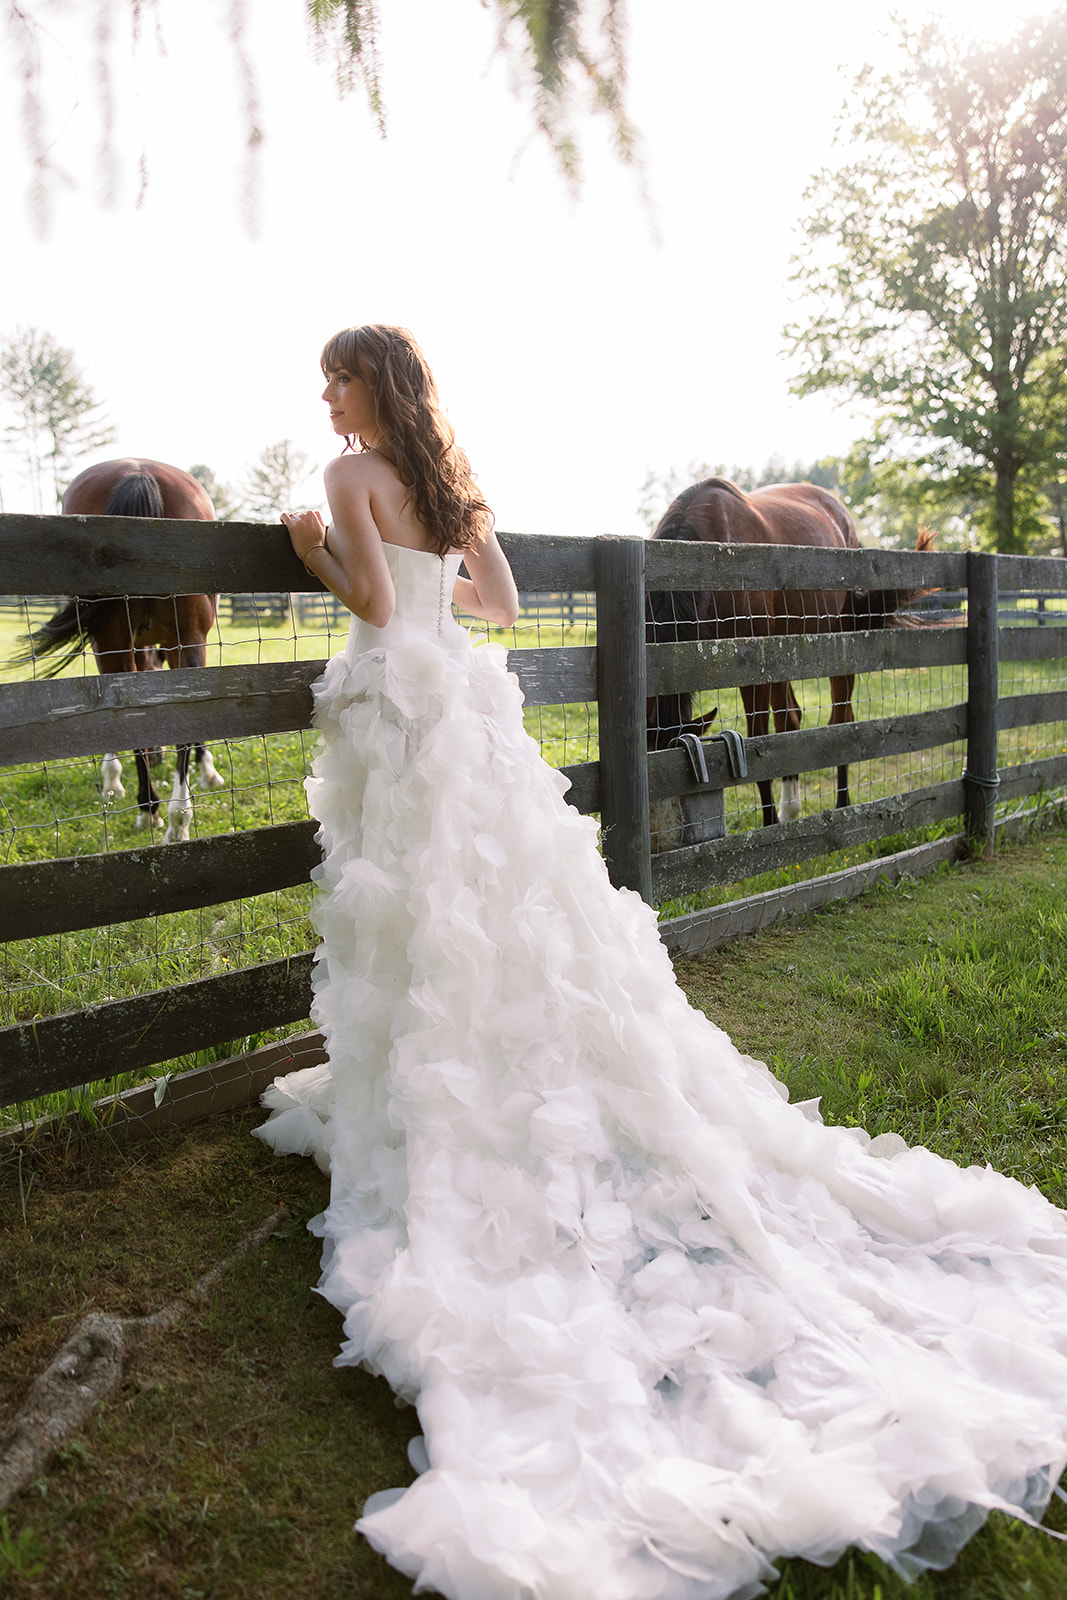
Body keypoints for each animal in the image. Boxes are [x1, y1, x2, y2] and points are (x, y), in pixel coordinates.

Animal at [16, 457, 223, 844]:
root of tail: (139, 471)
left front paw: (113, 778)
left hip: (113, 642)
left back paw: (153, 809)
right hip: (183, 638)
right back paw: (175, 818)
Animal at [646, 476, 927, 832]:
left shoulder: (753, 672)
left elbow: (758, 742)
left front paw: (769, 825)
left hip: (840, 644)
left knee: (841, 721)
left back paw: (840, 803)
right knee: (791, 719)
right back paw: (791, 808)